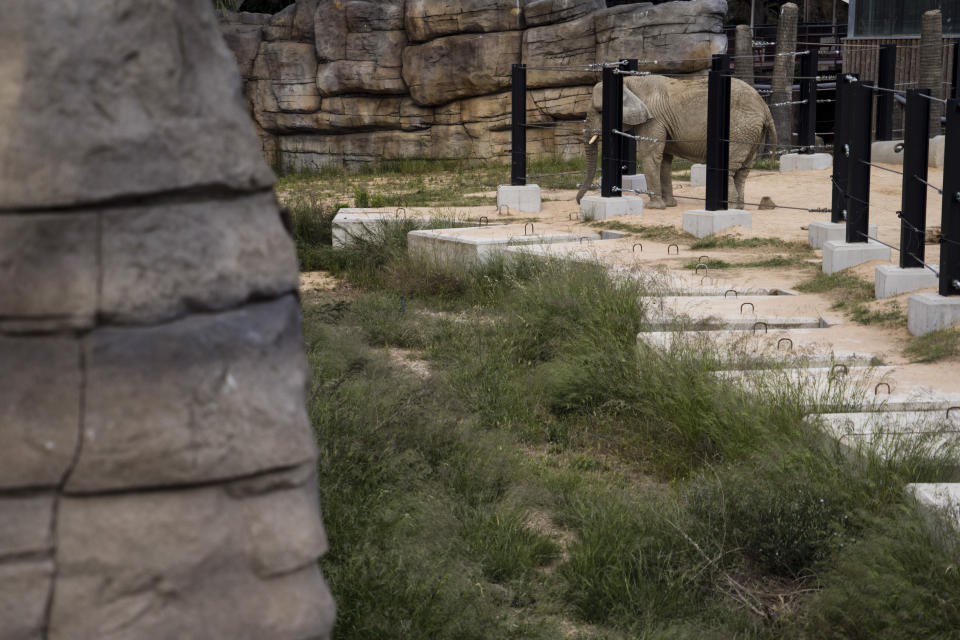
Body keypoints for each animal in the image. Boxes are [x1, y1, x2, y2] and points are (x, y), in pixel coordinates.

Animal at [572, 74, 776, 210]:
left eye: (600, 112)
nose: (579, 201)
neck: (631, 82)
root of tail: (765, 107)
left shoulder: (654, 119)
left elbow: (650, 156)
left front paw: (654, 207)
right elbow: (664, 161)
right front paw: (670, 205)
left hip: (740, 130)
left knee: (730, 169)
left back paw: (730, 209)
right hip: (752, 133)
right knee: (743, 172)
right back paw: (739, 208)